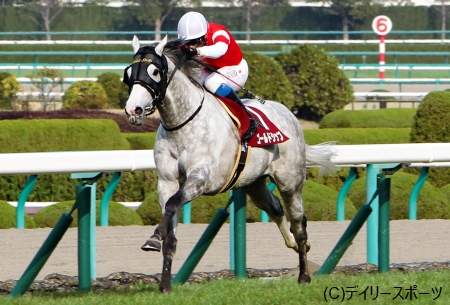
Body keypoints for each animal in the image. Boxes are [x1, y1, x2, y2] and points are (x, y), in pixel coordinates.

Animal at [123, 35, 334, 292]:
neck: (181, 124)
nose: (133, 110)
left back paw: (304, 274)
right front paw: (165, 284)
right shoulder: (167, 182)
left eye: (154, 71)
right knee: (275, 209)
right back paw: (293, 244)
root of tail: (288, 112)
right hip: (254, 184)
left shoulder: (200, 178)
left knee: (299, 222)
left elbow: (173, 204)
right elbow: (170, 227)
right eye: (128, 73)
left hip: (290, 182)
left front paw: (153, 239)